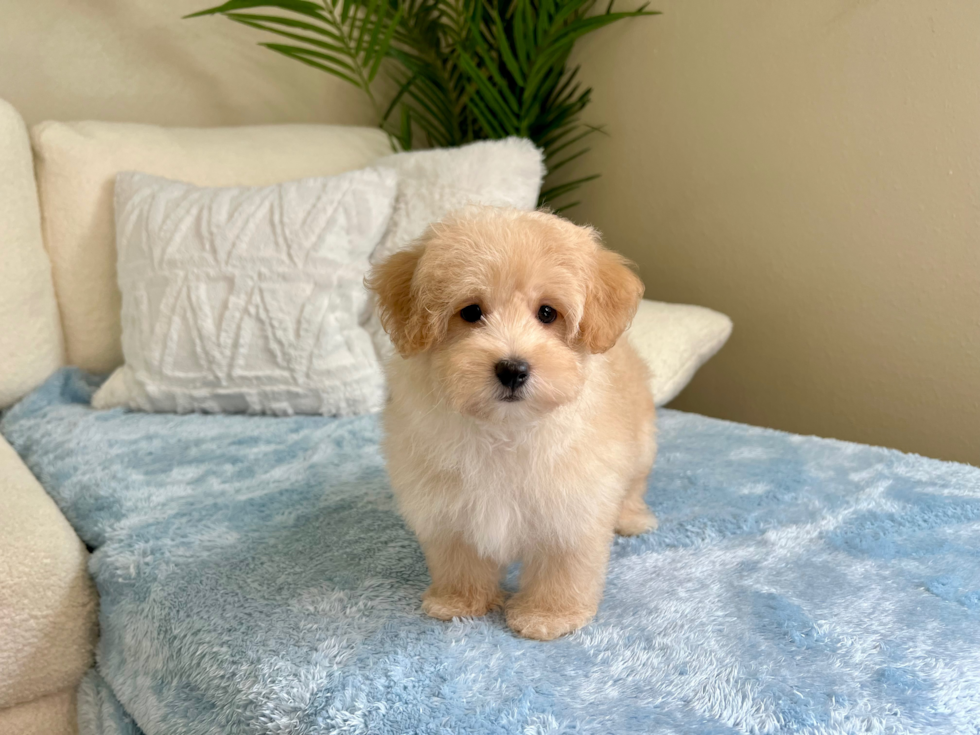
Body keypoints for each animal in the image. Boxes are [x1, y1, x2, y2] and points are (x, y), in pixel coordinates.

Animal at [368, 206, 660, 640]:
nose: (512, 369)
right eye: (471, 312)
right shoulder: (447, 504)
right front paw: (459, 601)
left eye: (547, 313)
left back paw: (630, 518)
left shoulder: (574, 501)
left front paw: (548, 615)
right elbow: (459, 556)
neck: (504, 429)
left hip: (642, 443)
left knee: (634, 484)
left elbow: (562, 562)